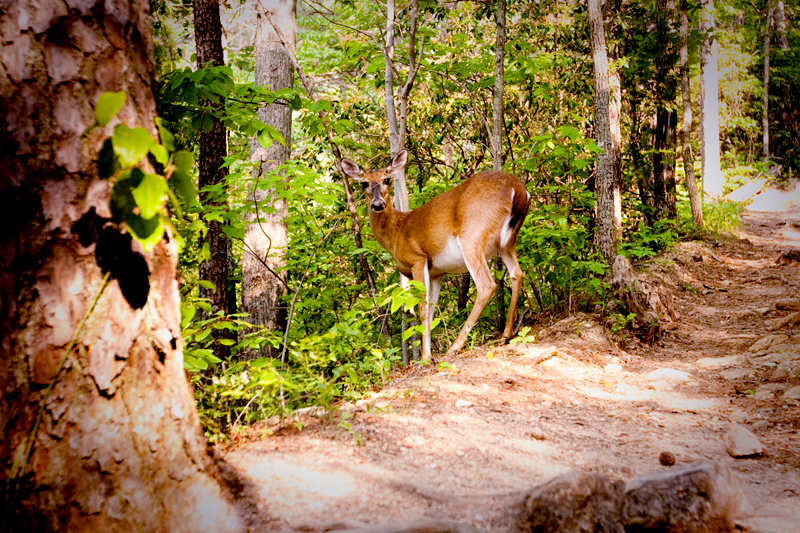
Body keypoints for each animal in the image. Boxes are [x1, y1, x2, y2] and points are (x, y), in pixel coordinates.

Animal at [340, 148, 532, 360]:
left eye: (386, 179)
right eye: (364, 183)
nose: (377, 204)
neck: (396, 232)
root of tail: (517, 187)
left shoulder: (417, 258)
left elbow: (422, 308)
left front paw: (425, 357)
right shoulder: (436, 273)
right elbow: (431, 309)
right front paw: (427, 352)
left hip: (472, 236)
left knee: (487, 285)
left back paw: (456, 346)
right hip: (508, 240)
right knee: (517, 273)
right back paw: (506, 334)